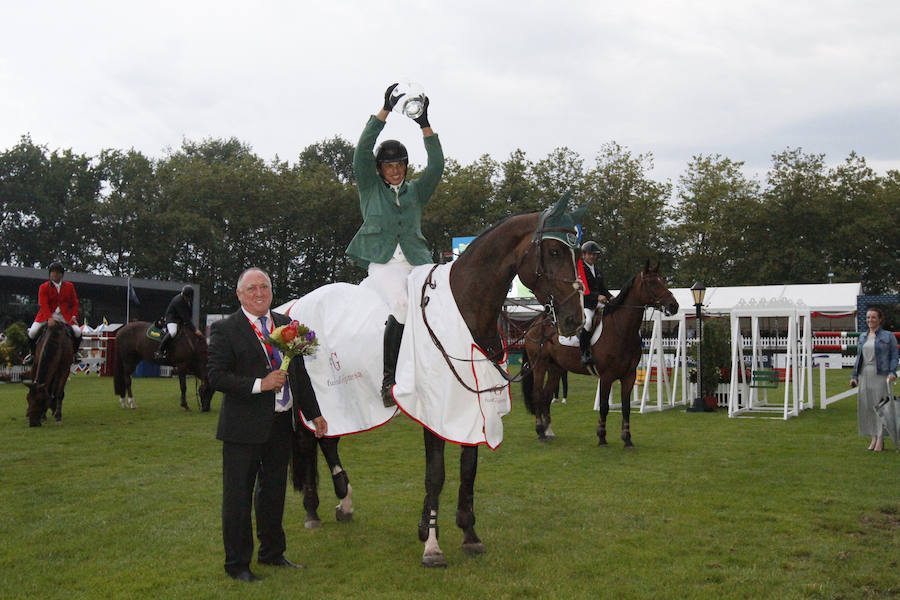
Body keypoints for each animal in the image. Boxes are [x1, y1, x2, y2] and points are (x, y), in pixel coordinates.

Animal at [524, 262, 680, 446]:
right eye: (653, 283)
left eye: (662, 280)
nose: (674, 306)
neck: (621, 330)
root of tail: (535, 323)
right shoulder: (606, 376)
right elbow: (604, 406)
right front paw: (602, 438)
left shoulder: (629, 376)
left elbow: (626, 407)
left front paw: (627, 440)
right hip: (540, 366)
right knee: (538, 395)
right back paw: (540, 432)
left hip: (556, 368)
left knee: (547, 396)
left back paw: (549, 431)